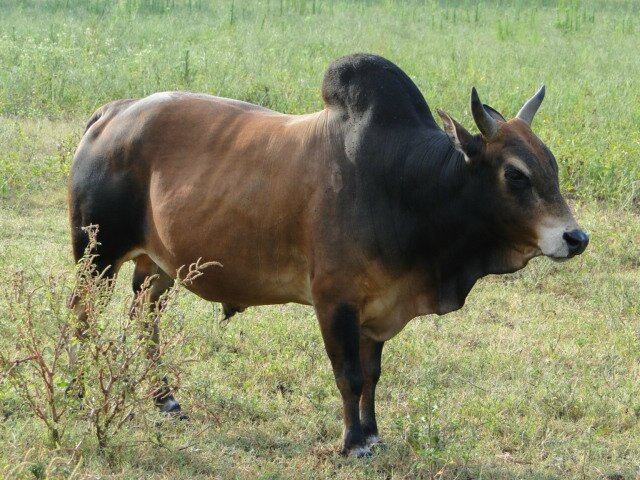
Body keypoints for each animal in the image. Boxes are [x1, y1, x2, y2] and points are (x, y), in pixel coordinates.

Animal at [67, 54, 588, 456]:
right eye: (516, 174)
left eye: (552, 165)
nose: (575, 237)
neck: (403, 183)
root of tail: (112, 113)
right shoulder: (334, 301)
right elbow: (349, 376)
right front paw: (352, 443)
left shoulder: (378, 306)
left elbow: (373, 375)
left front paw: (373, 434)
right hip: (96, 255)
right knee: (82, 315)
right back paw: (77, 392)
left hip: (156, 267)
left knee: (143, 318)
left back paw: (164, 399)